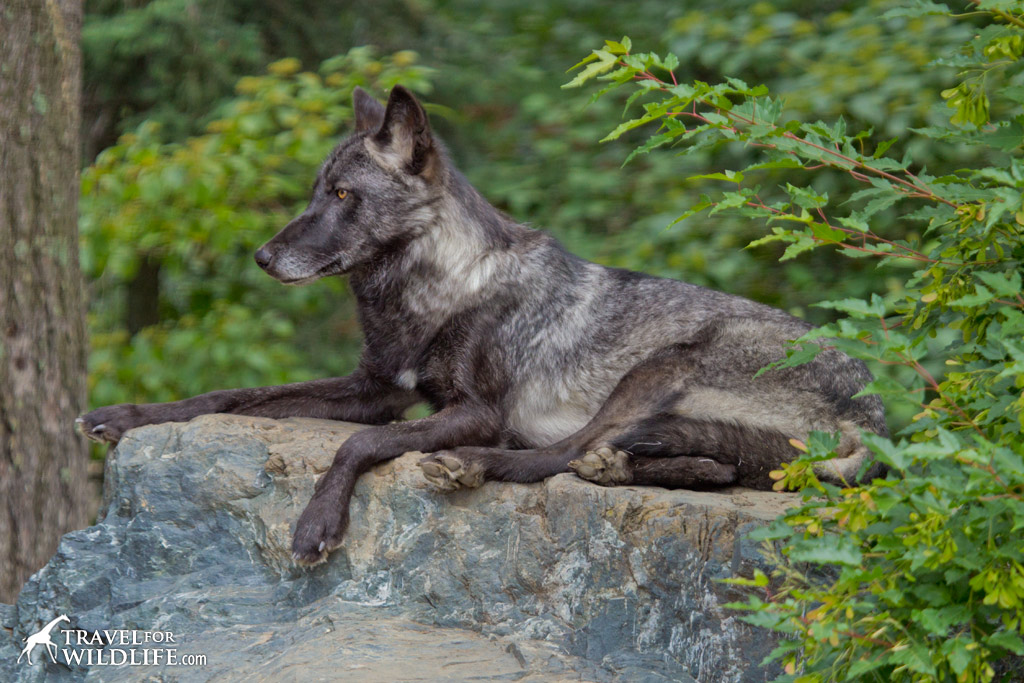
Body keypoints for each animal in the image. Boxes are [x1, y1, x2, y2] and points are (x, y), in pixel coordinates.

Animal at [77, 85, 888, 565]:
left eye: (342, 194)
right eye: (314, 191)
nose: (262, 257)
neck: (439, 287)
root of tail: (878, 417)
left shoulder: (471, 410)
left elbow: (359, 445)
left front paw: (317, 523)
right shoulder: (375, 389)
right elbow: (231, 396)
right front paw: (128, 415)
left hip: (663, 364)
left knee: (557, 453)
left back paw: (476, 465)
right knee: (710, 467)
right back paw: (618, 469)